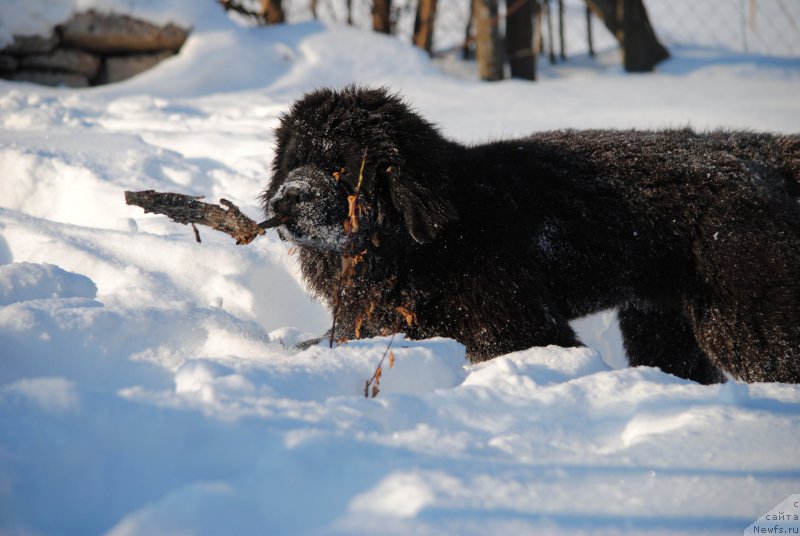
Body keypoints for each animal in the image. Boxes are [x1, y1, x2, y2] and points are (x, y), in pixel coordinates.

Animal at [260, 86, 796, 384]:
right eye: (292, 161)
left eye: (340, 167)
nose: (285, 199)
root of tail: (752, 157)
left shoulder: (517, 324)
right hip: (660, 320)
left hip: (743, 316)